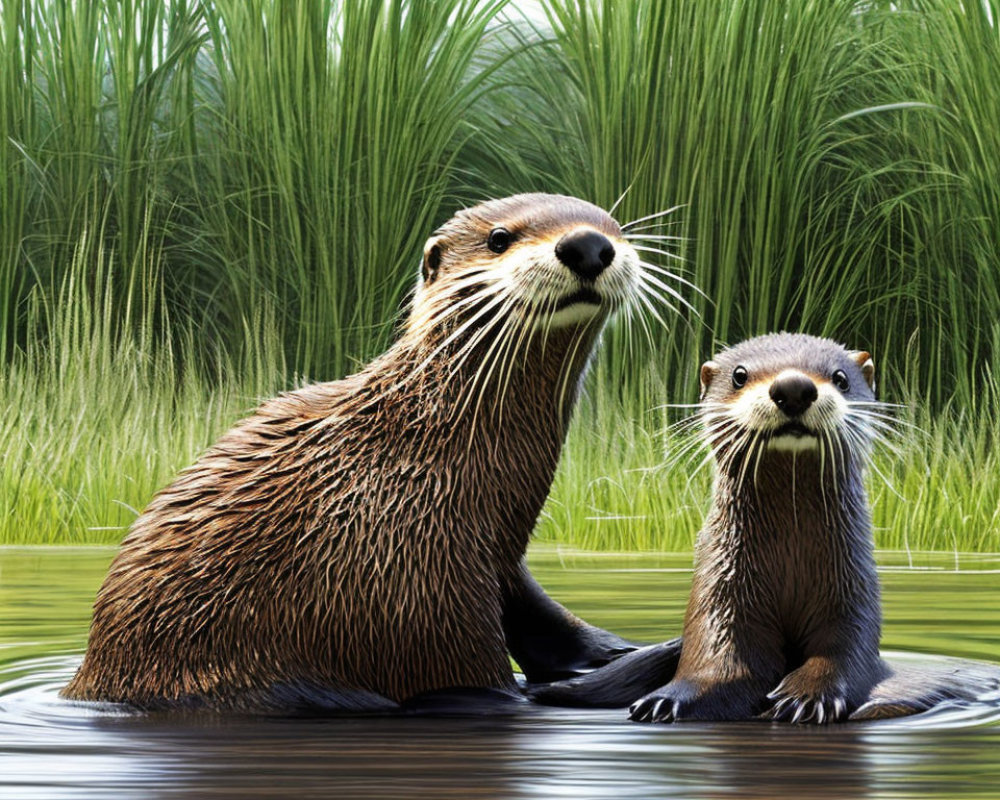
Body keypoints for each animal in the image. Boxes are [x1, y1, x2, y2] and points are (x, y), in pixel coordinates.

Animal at [60, 194, 672, 712]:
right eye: (499, 238)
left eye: (613, 226)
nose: (588, 245)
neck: (422, 453)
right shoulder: (410, 597)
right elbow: (494, 686)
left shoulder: (495, 558)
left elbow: (551, 631)